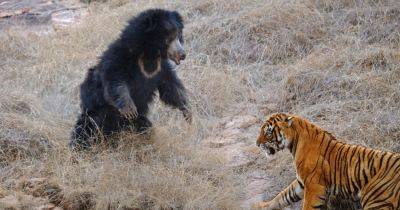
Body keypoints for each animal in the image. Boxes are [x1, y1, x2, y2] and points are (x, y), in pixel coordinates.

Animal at [69, 9, 191, 149]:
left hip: (137, 121)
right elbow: (115, 81)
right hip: (97, 114)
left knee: (145, 128)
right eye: (169, 37)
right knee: (87, 129)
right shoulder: (120, 57)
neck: (149, 54)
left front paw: (188, 113)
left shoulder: (162, 68)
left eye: (179, 35)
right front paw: (129, 109)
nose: (182, 54)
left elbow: (170, 89)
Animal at [253, 113, 400, 210]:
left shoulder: (314, 185)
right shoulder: (301, 182)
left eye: (268, 133)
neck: (294, 142)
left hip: (376, 198)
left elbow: (307, 205)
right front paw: (261, 206)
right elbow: (283, 196)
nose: (257, 144)